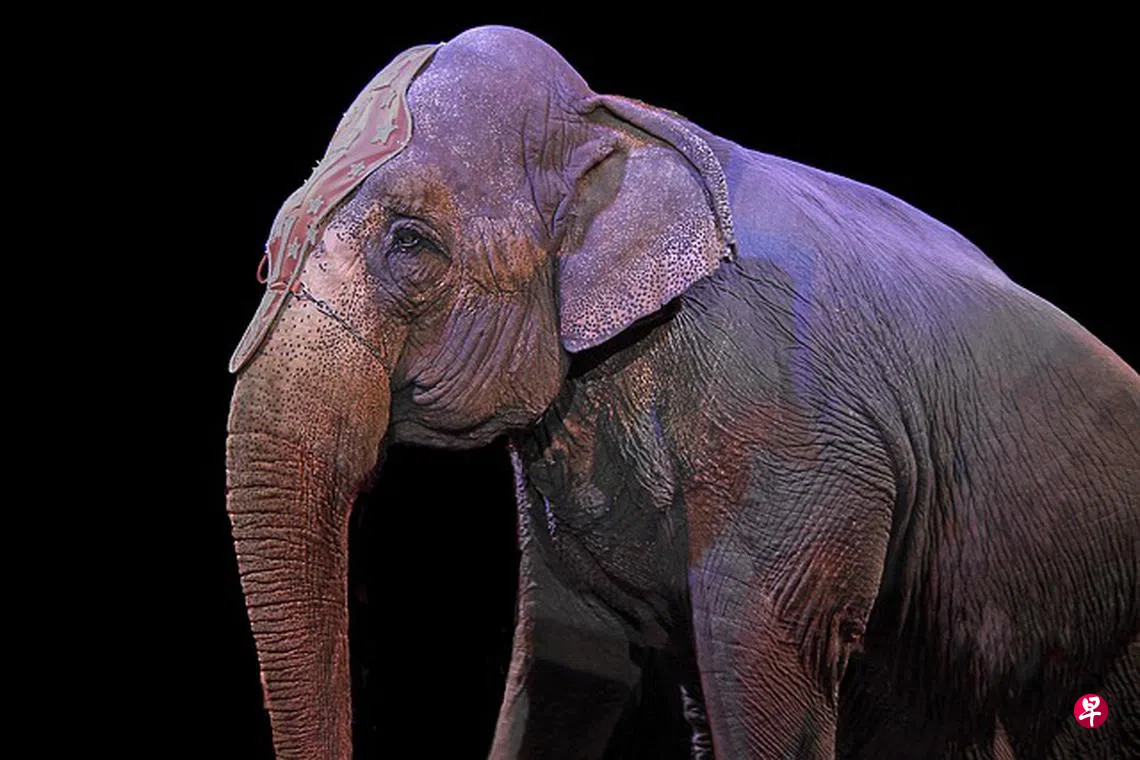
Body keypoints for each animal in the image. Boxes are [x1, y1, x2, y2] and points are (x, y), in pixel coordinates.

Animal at [224, 26, 1139, 760]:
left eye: (411, 244)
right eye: (271, 249)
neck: (609, 120)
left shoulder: (788, 423)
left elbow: (759, 661)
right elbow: (567, 651)